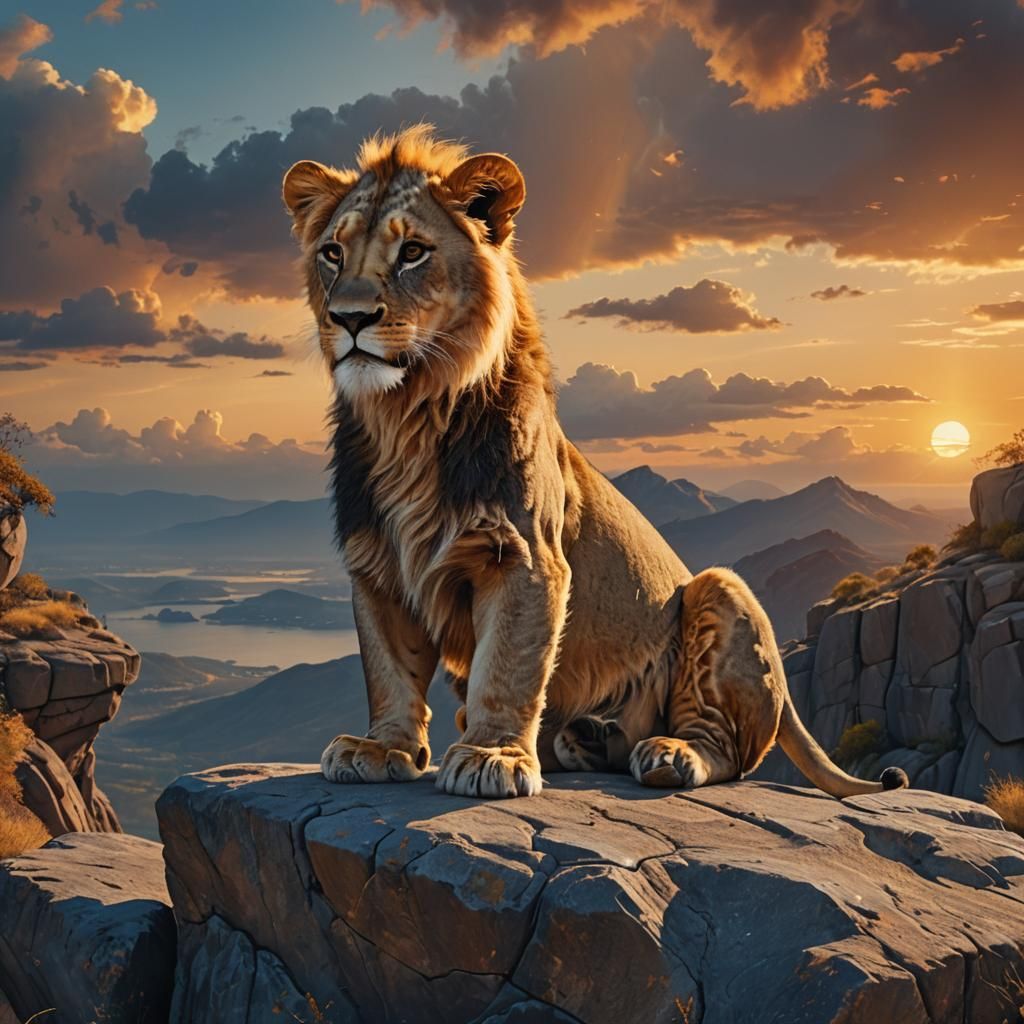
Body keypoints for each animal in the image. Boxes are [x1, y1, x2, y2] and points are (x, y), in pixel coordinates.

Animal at [282, 126, 908, 800]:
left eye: (414, 253)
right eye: (332, 253)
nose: (349, 318)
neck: (408, 419)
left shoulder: (526, 555)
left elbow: (507, 666)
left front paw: (493, 755)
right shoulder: (376, 564)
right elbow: (388, 669)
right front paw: (382, 748)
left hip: (719, 589)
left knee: (728, 750)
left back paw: (667, 753)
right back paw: (580, 740)